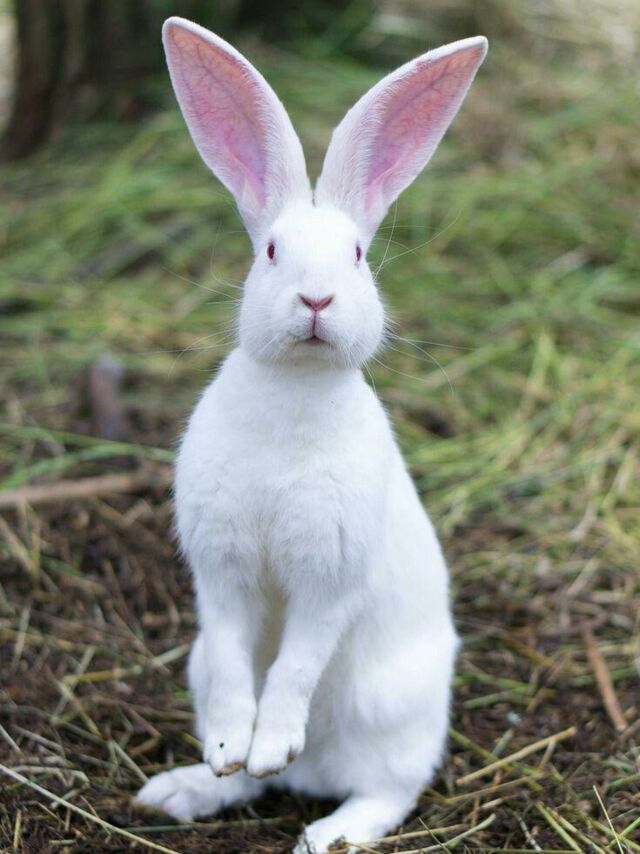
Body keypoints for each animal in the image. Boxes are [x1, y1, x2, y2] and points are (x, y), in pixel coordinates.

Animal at [136, 16, 487, 854]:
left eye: (358, 256)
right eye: (270, 252)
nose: (317, 299)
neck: (294, 390)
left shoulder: (329, 578)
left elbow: (294, 665)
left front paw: (270, 743)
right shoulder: (221, 572)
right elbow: (239, 664)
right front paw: (233, 747)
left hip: (395, 713)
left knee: (387, 794)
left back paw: (324, 830)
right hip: (197, 665)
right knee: (250, 782)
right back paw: (189, 787)